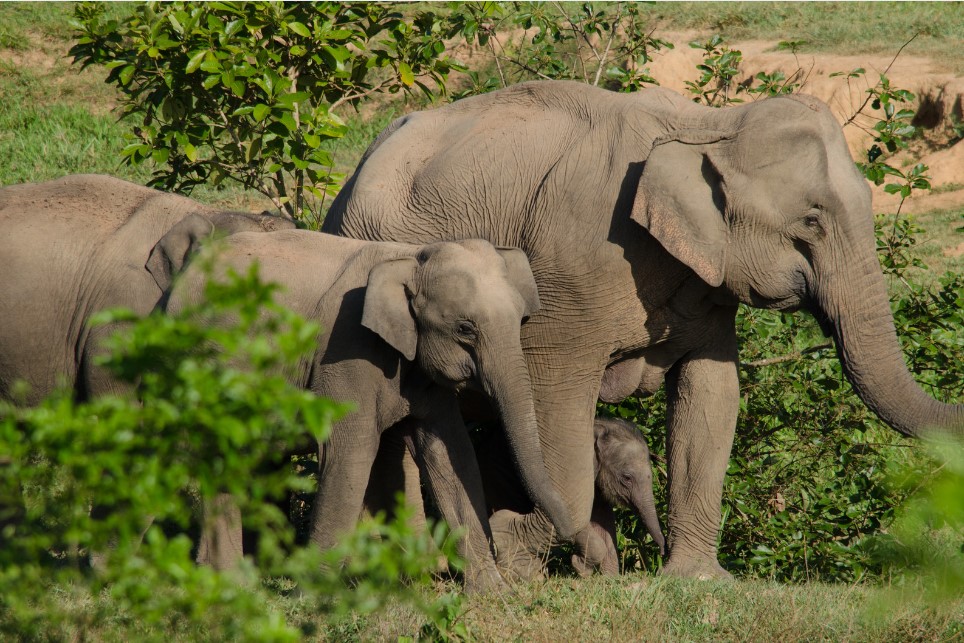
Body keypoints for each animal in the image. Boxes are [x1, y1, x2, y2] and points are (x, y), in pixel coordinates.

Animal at [166, 231, 572, 592]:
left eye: (521, 319)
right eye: (465, 328)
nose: (570, 533)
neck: (410, 256)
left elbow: (451, 455)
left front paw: (492, 593)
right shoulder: (346, 351)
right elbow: (351, 453)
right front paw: (313, 596)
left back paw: (226, 581)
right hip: (200, 370)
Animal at [326, 79, 964, 580]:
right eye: (812, 220)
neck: (708, 126)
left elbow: (713, 396)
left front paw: (699, 580)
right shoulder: (572, 275)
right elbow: (557, 401)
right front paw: (518, 553)